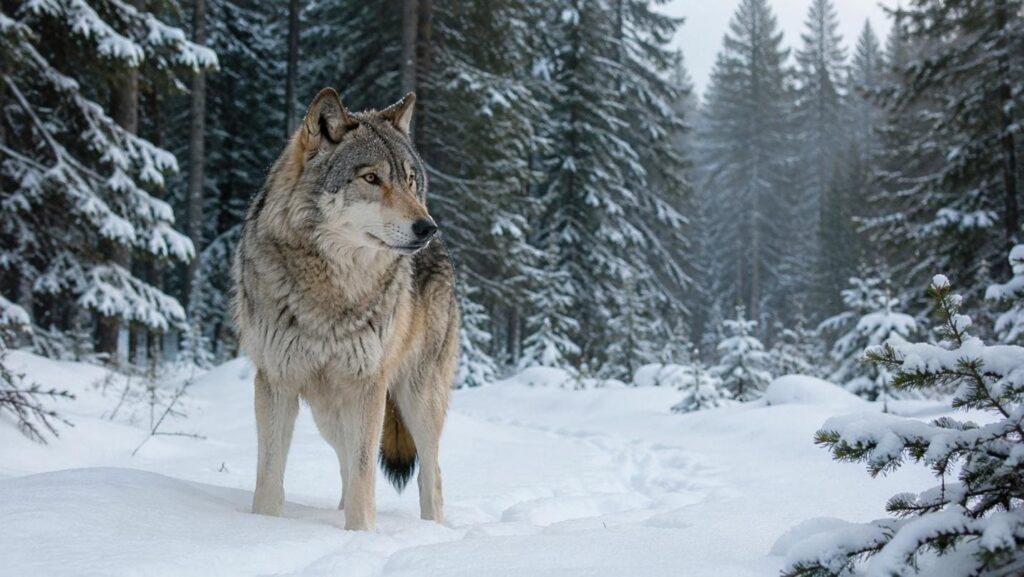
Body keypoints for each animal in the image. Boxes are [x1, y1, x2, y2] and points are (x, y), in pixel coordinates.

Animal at [232, 88, 459, 531]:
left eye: (409, 180)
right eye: (371, 178)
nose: (427, 227)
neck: (332, 289)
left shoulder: (368, 385)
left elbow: (364, 476)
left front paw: (362, 535)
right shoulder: (275, 382)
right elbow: (269, 478)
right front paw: (265, 528)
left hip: (418, 397)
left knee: (433, 474)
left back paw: (433, 530)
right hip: (329, 412)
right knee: (344, 465)